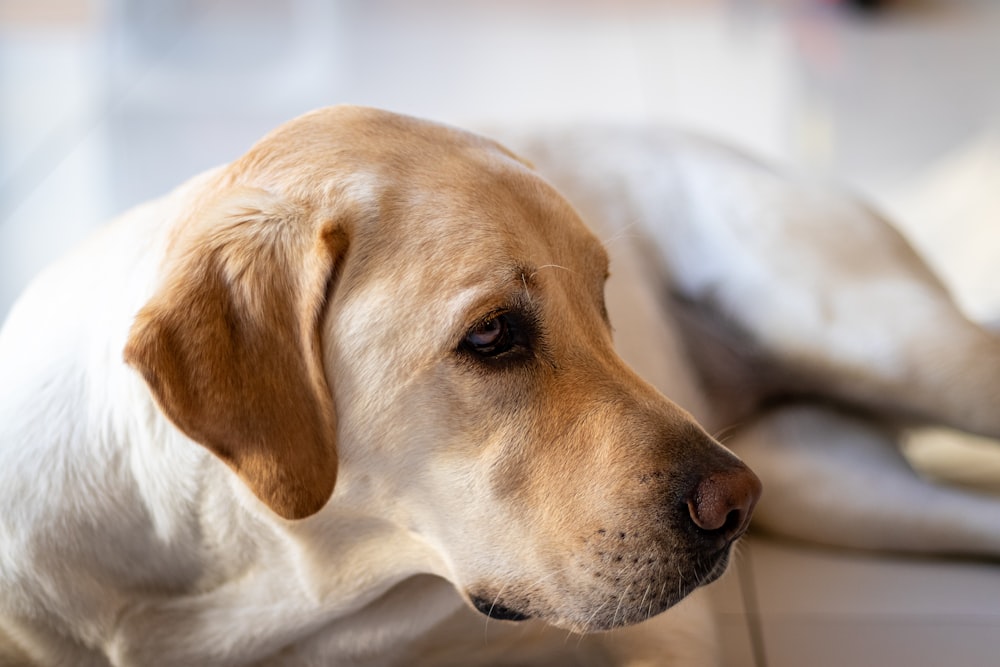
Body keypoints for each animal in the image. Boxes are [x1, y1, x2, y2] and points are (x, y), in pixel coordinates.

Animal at [0, 107, 992, 664]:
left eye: (603, 302)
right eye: (491, 335)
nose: (734, 503)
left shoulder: (662, 635)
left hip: (891, 347)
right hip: (831, 482)